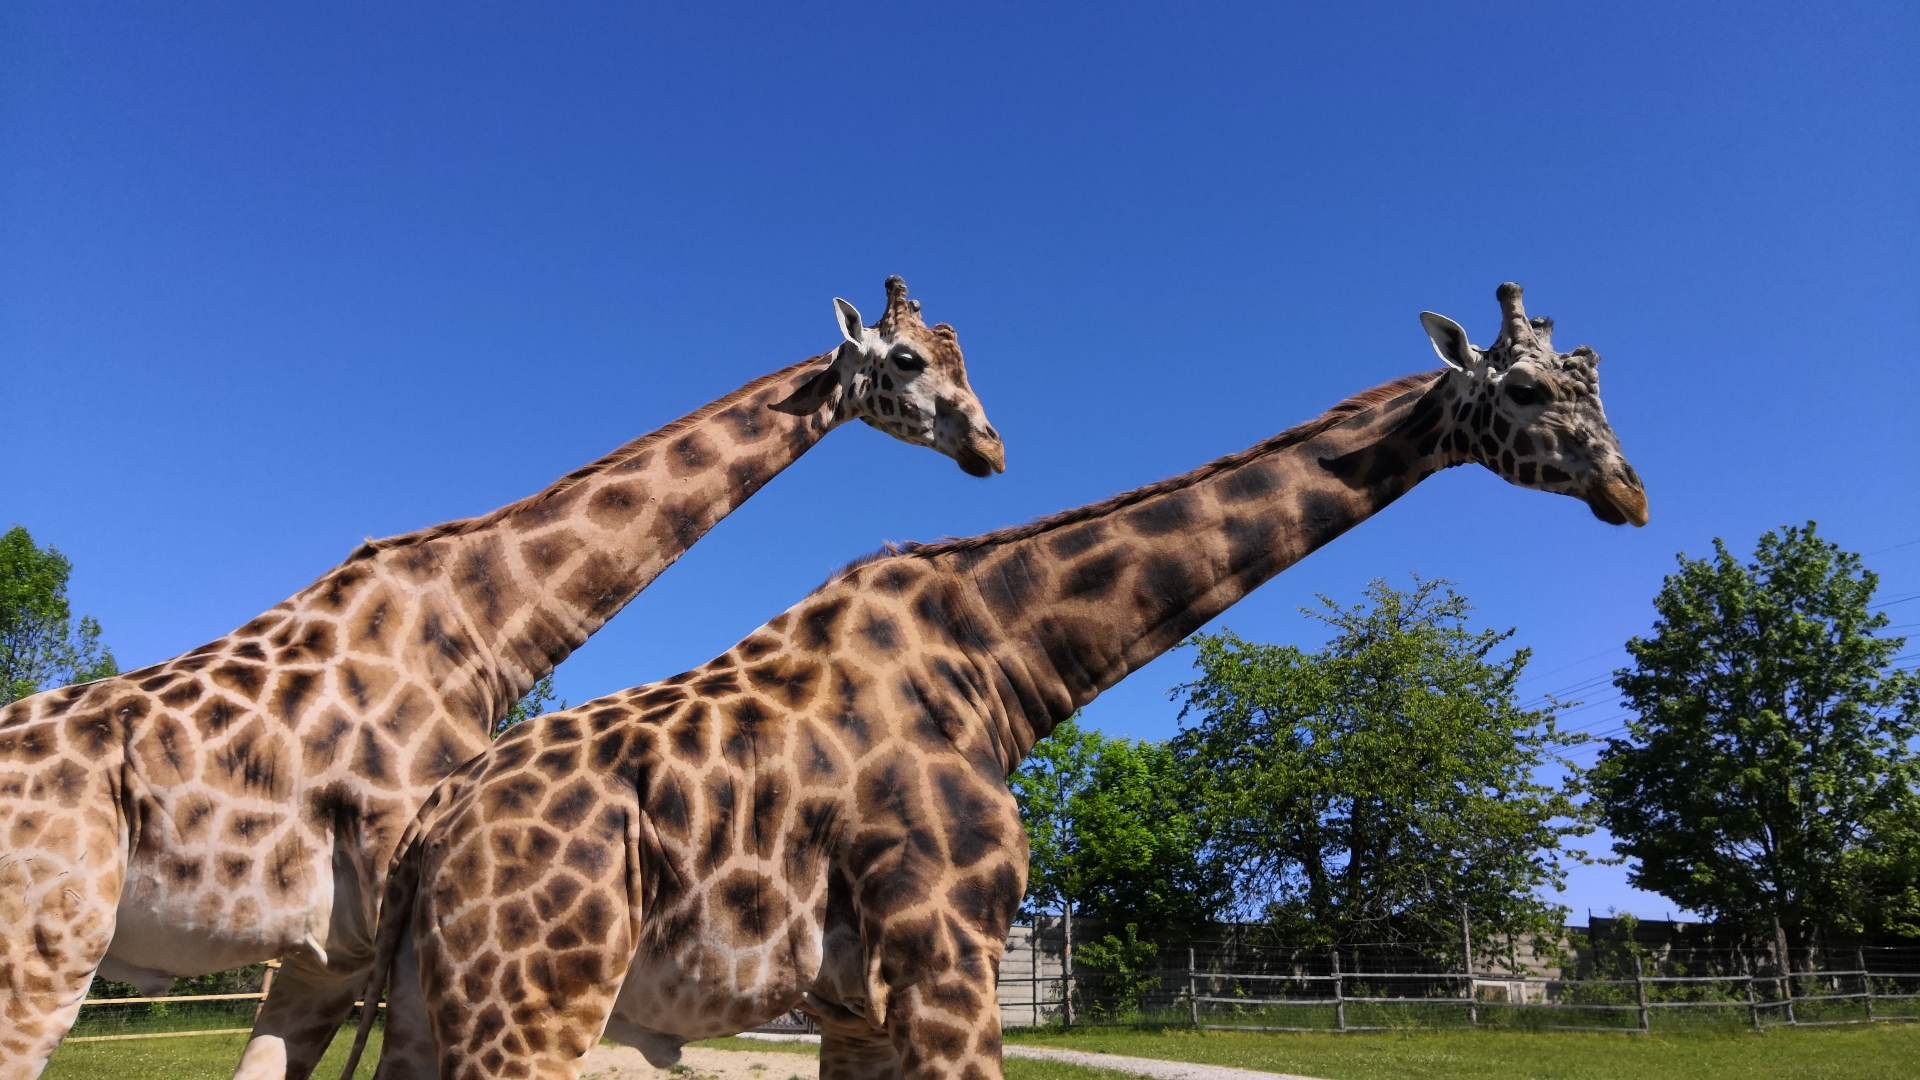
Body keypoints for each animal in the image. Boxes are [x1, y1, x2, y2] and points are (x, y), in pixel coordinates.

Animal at [0, 276, 1005, 1080]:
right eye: (909, 358)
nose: (991, 447)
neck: (482, 629)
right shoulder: (384, 935)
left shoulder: (327, 951)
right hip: (44, 952)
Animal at [339, 282, 1647, 1080]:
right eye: (1528, 389)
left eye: (1600, 387)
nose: (1629, 492)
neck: (1001, 661)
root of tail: (435, 827)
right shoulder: (951, 953)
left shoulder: (858, 1003)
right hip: (534, 1000)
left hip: (429, 1009)